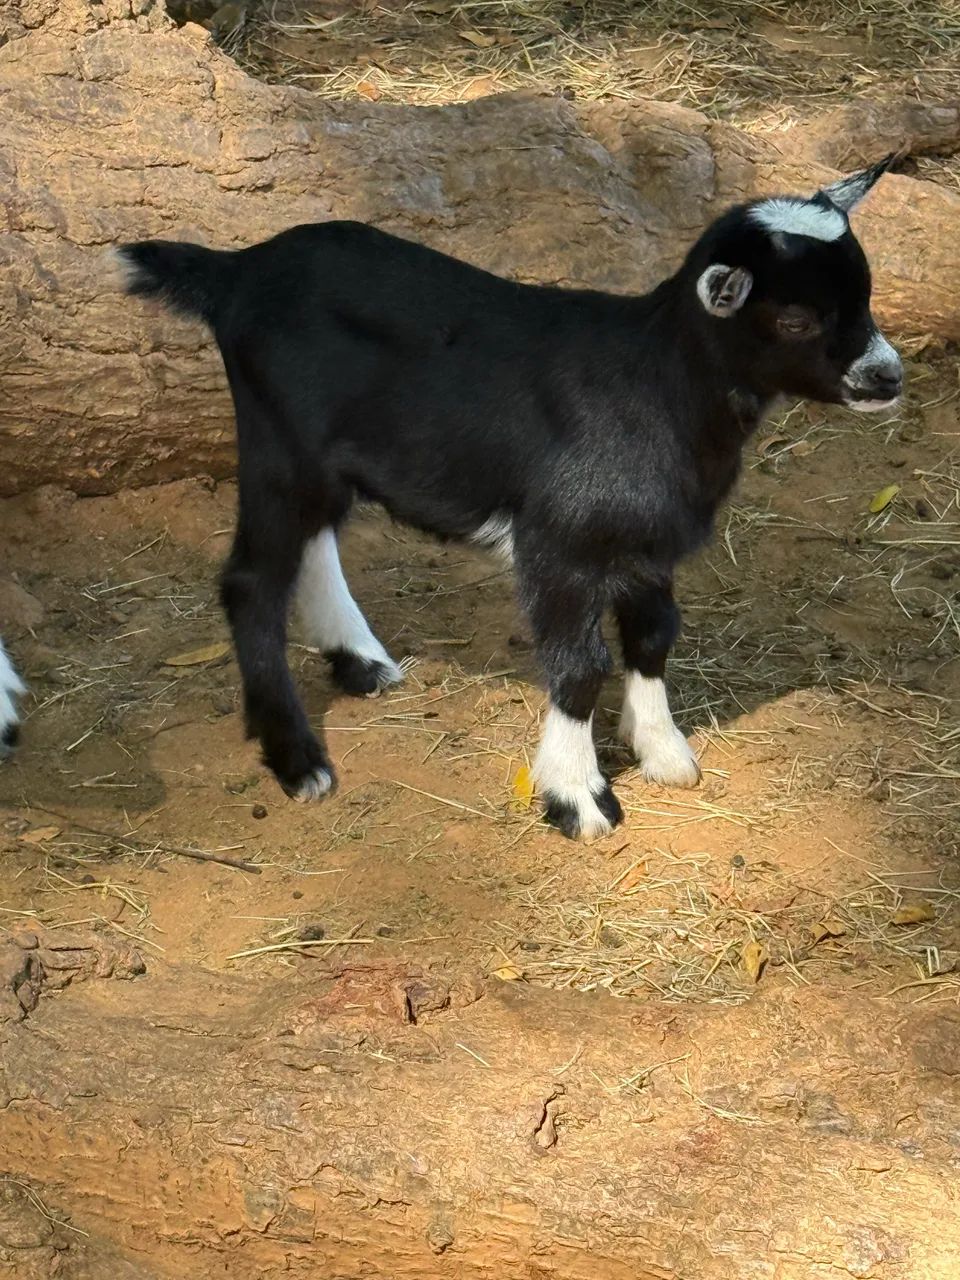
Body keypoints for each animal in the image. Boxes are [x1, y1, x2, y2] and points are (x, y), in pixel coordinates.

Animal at [114, 155, 902, 839]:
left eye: (863, 295)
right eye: (796, 319)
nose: (886, 376)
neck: (658, 382)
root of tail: (236, 271)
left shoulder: (648, 542)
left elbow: (653, 637)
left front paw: (663, 751)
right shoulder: (559, 543)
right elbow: (580, 667)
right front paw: (577, 796)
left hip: (320, 458)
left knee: (313, 543)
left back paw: (360, 661)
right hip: (279, 444)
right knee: (252, 581)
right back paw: (298, 758)